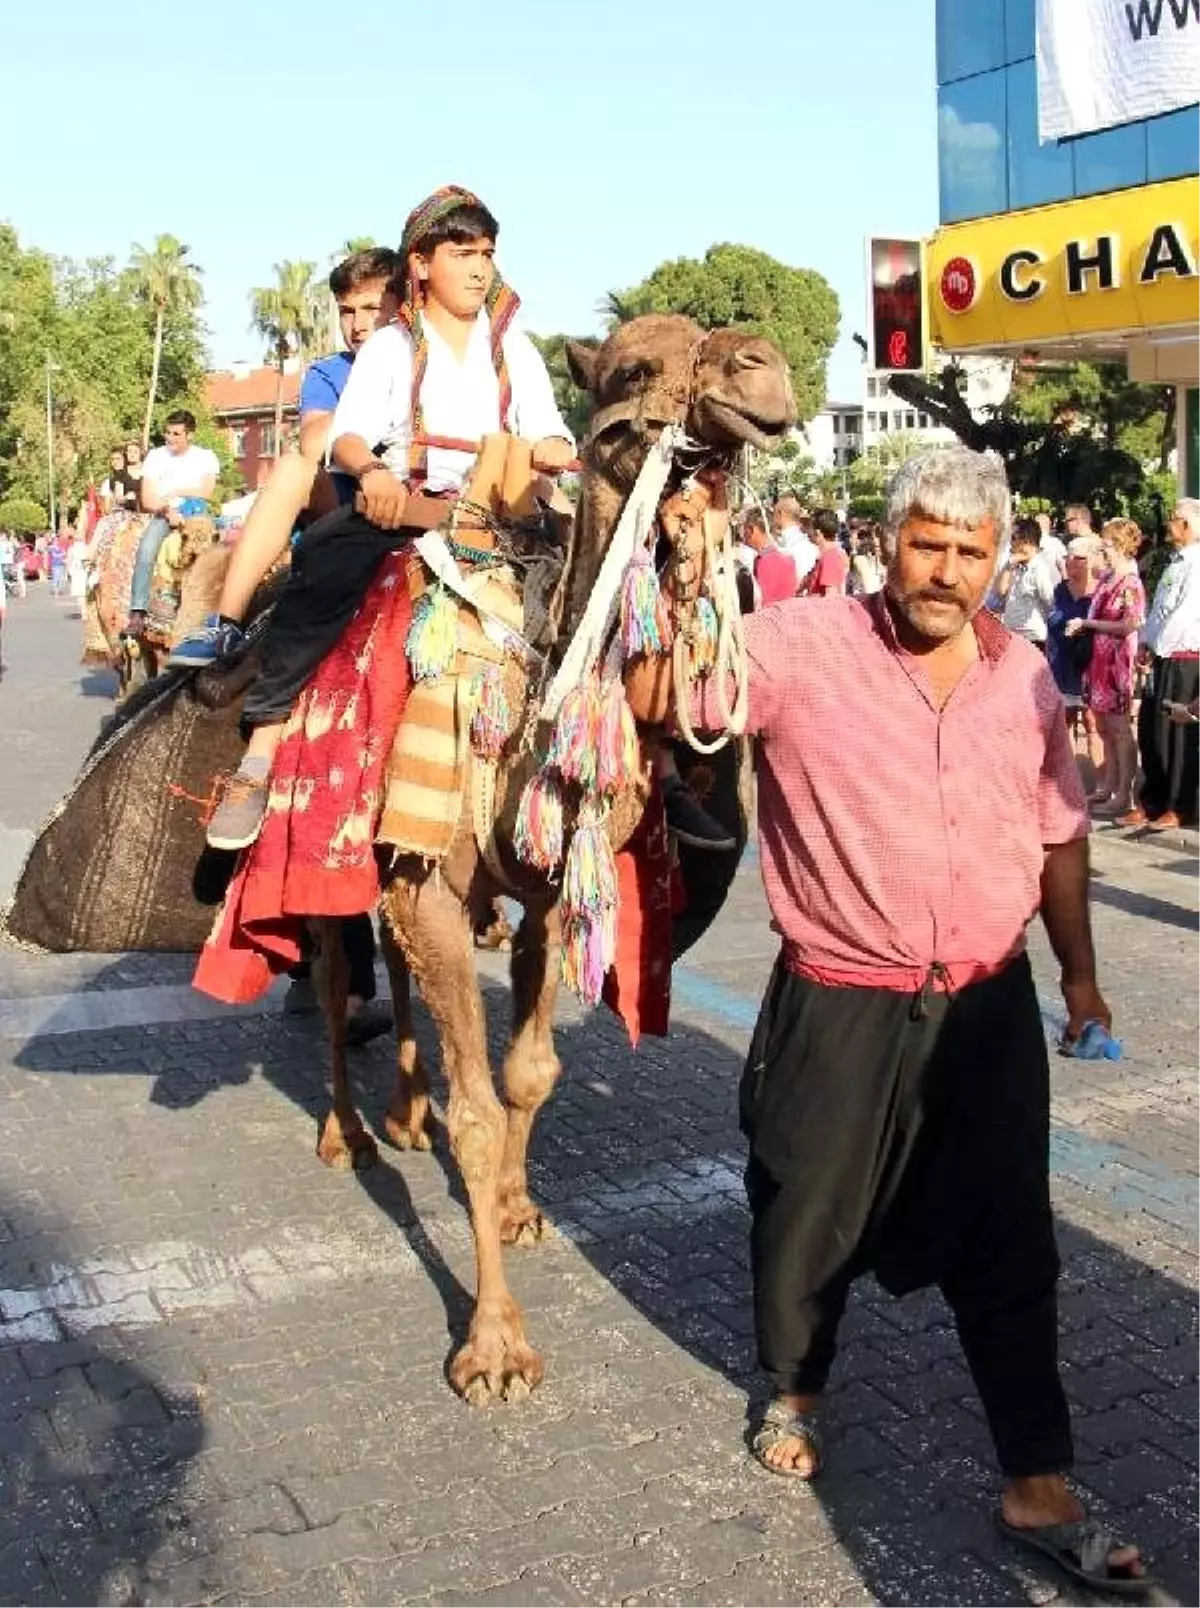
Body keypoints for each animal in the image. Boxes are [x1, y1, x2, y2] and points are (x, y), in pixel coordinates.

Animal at [308, 310, 794, 1395]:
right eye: (635, 368)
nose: (767, 369)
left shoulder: (535, 895)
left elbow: (528, 1074)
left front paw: (520, 1207)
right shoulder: (436, 878)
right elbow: (481, 1114)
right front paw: (493, 1346)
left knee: (391, 966)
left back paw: (403, 1111)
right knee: (329, 973)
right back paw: (348, 1133)